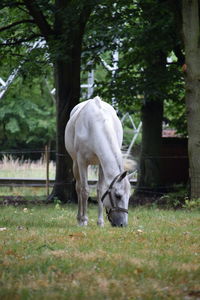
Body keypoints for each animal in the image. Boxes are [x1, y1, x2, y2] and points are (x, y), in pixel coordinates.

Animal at [65, 97, 132, 226]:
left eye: (129, 197)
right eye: (118, 196)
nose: (123, 224)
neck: (95, 126)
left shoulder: (101, 163)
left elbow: (100, 190)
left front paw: (100, 222)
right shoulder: (82, 162)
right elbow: (85, 190)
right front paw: (84, 220)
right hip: (75, 163)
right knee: (78, 187)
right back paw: (79, 219)